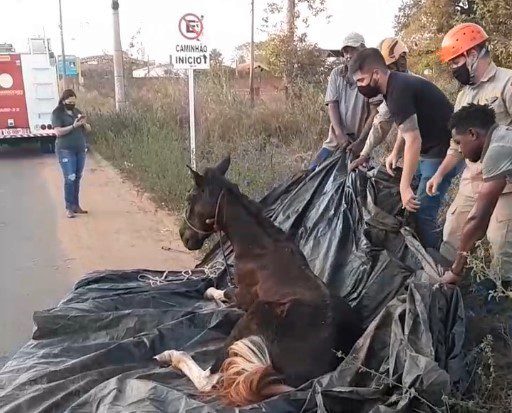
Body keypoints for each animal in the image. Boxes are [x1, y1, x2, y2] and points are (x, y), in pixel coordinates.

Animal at [154, 157, 362, 406]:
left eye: (190, 198)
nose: (184, 236)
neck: (260, 248)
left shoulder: (245, 297)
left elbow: (226, 291)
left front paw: (210, 291)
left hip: (255, 314)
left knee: (209, 379)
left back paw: (171, 355)